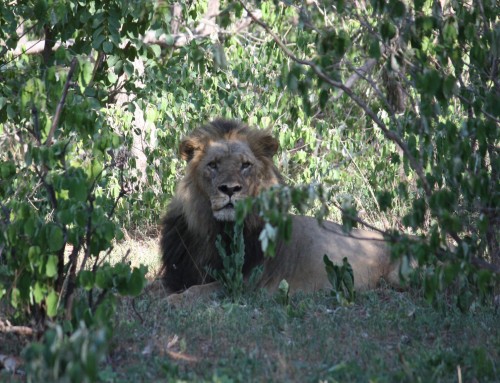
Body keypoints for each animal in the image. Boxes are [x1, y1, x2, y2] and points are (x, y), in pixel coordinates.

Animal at [160, 120, 402, 306]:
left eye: (245, 165)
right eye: (213, 165)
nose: (229, 189)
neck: (213, 229)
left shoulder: (246, 283)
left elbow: (201, 289)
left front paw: (175, 300)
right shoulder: (175, 273)